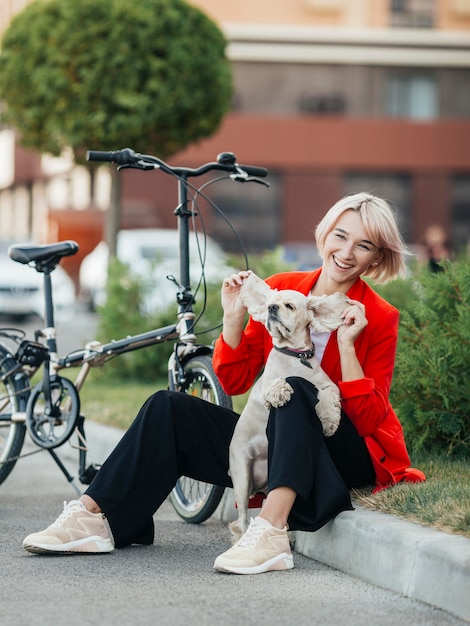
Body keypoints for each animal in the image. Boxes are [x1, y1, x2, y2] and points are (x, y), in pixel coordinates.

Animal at [228, 270, 348, 540]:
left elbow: (327, 397)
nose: (272, 308)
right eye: (270, 304)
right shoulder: (265, 386)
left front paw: (328, 422)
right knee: (240, 520)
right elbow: (277, 383)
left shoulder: (329, 386)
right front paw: (282, 392)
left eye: (289, 306)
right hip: (241, 476)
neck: (295, 356)